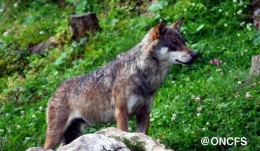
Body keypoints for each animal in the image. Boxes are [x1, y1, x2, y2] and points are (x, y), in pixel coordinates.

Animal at [43, 17, 197, 149]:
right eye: (174, 43)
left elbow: (143, 138)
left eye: (184, 42)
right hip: (55, 135)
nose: (195, 55)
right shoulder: (121, 114)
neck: (142, 73)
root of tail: (55, 91)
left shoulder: (144, 113)